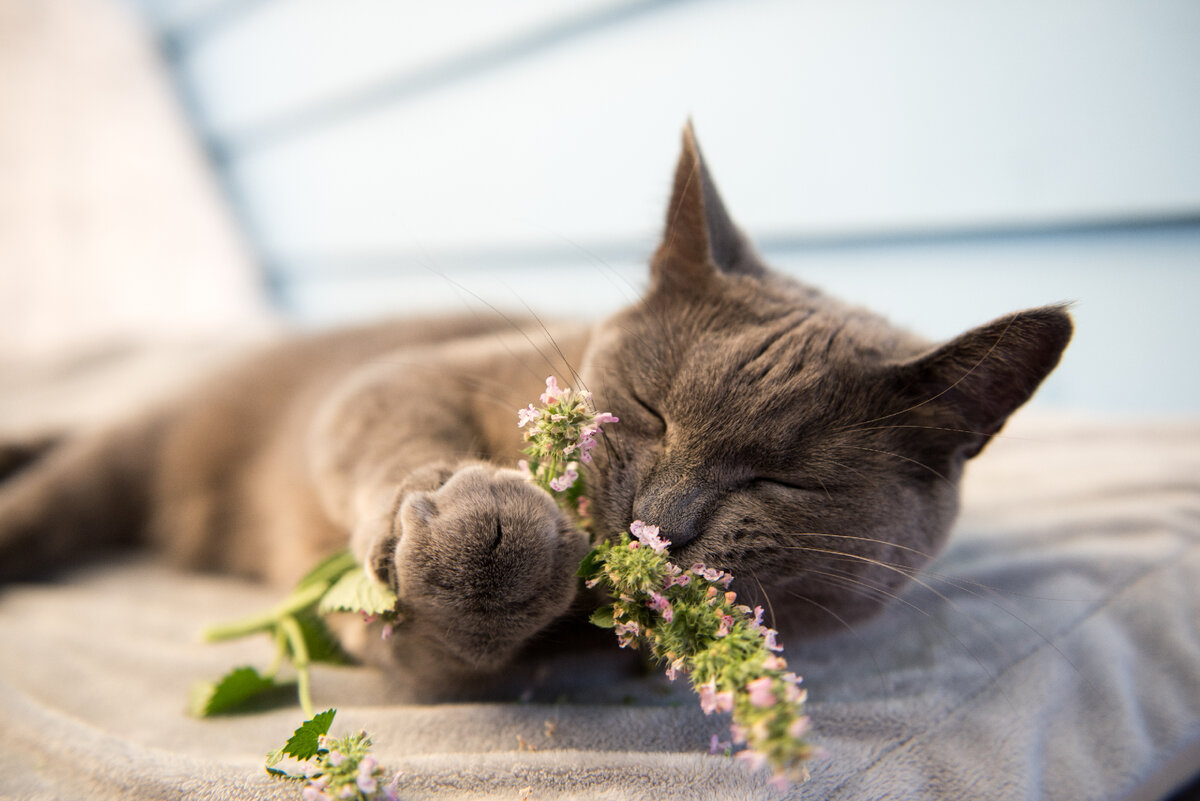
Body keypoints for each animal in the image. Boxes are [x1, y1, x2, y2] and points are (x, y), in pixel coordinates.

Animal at [0, 125, 1070, 695]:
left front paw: (496, 556)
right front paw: (478, 521)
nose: (659, 524)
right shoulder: (393, 382)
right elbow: (391, 436)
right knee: (57, 485)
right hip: (141, 445)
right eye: (648, 409)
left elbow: (443, 644)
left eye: (784, 478)